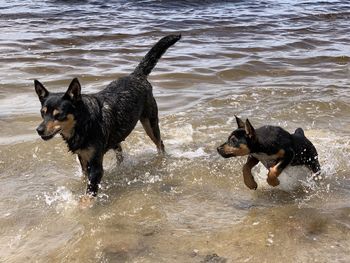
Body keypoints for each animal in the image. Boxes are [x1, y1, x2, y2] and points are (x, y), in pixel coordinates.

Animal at [34, 34, 182, 197]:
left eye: (59, 115)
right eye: (42, 113)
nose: (39, 130)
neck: (83, 123)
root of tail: (136, 75)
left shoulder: (95, 166)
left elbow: (88, 195)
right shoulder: (83, 159)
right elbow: (84, 178)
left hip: (150, 122)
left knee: (159, 143)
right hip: (117, 135)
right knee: (120, 150)